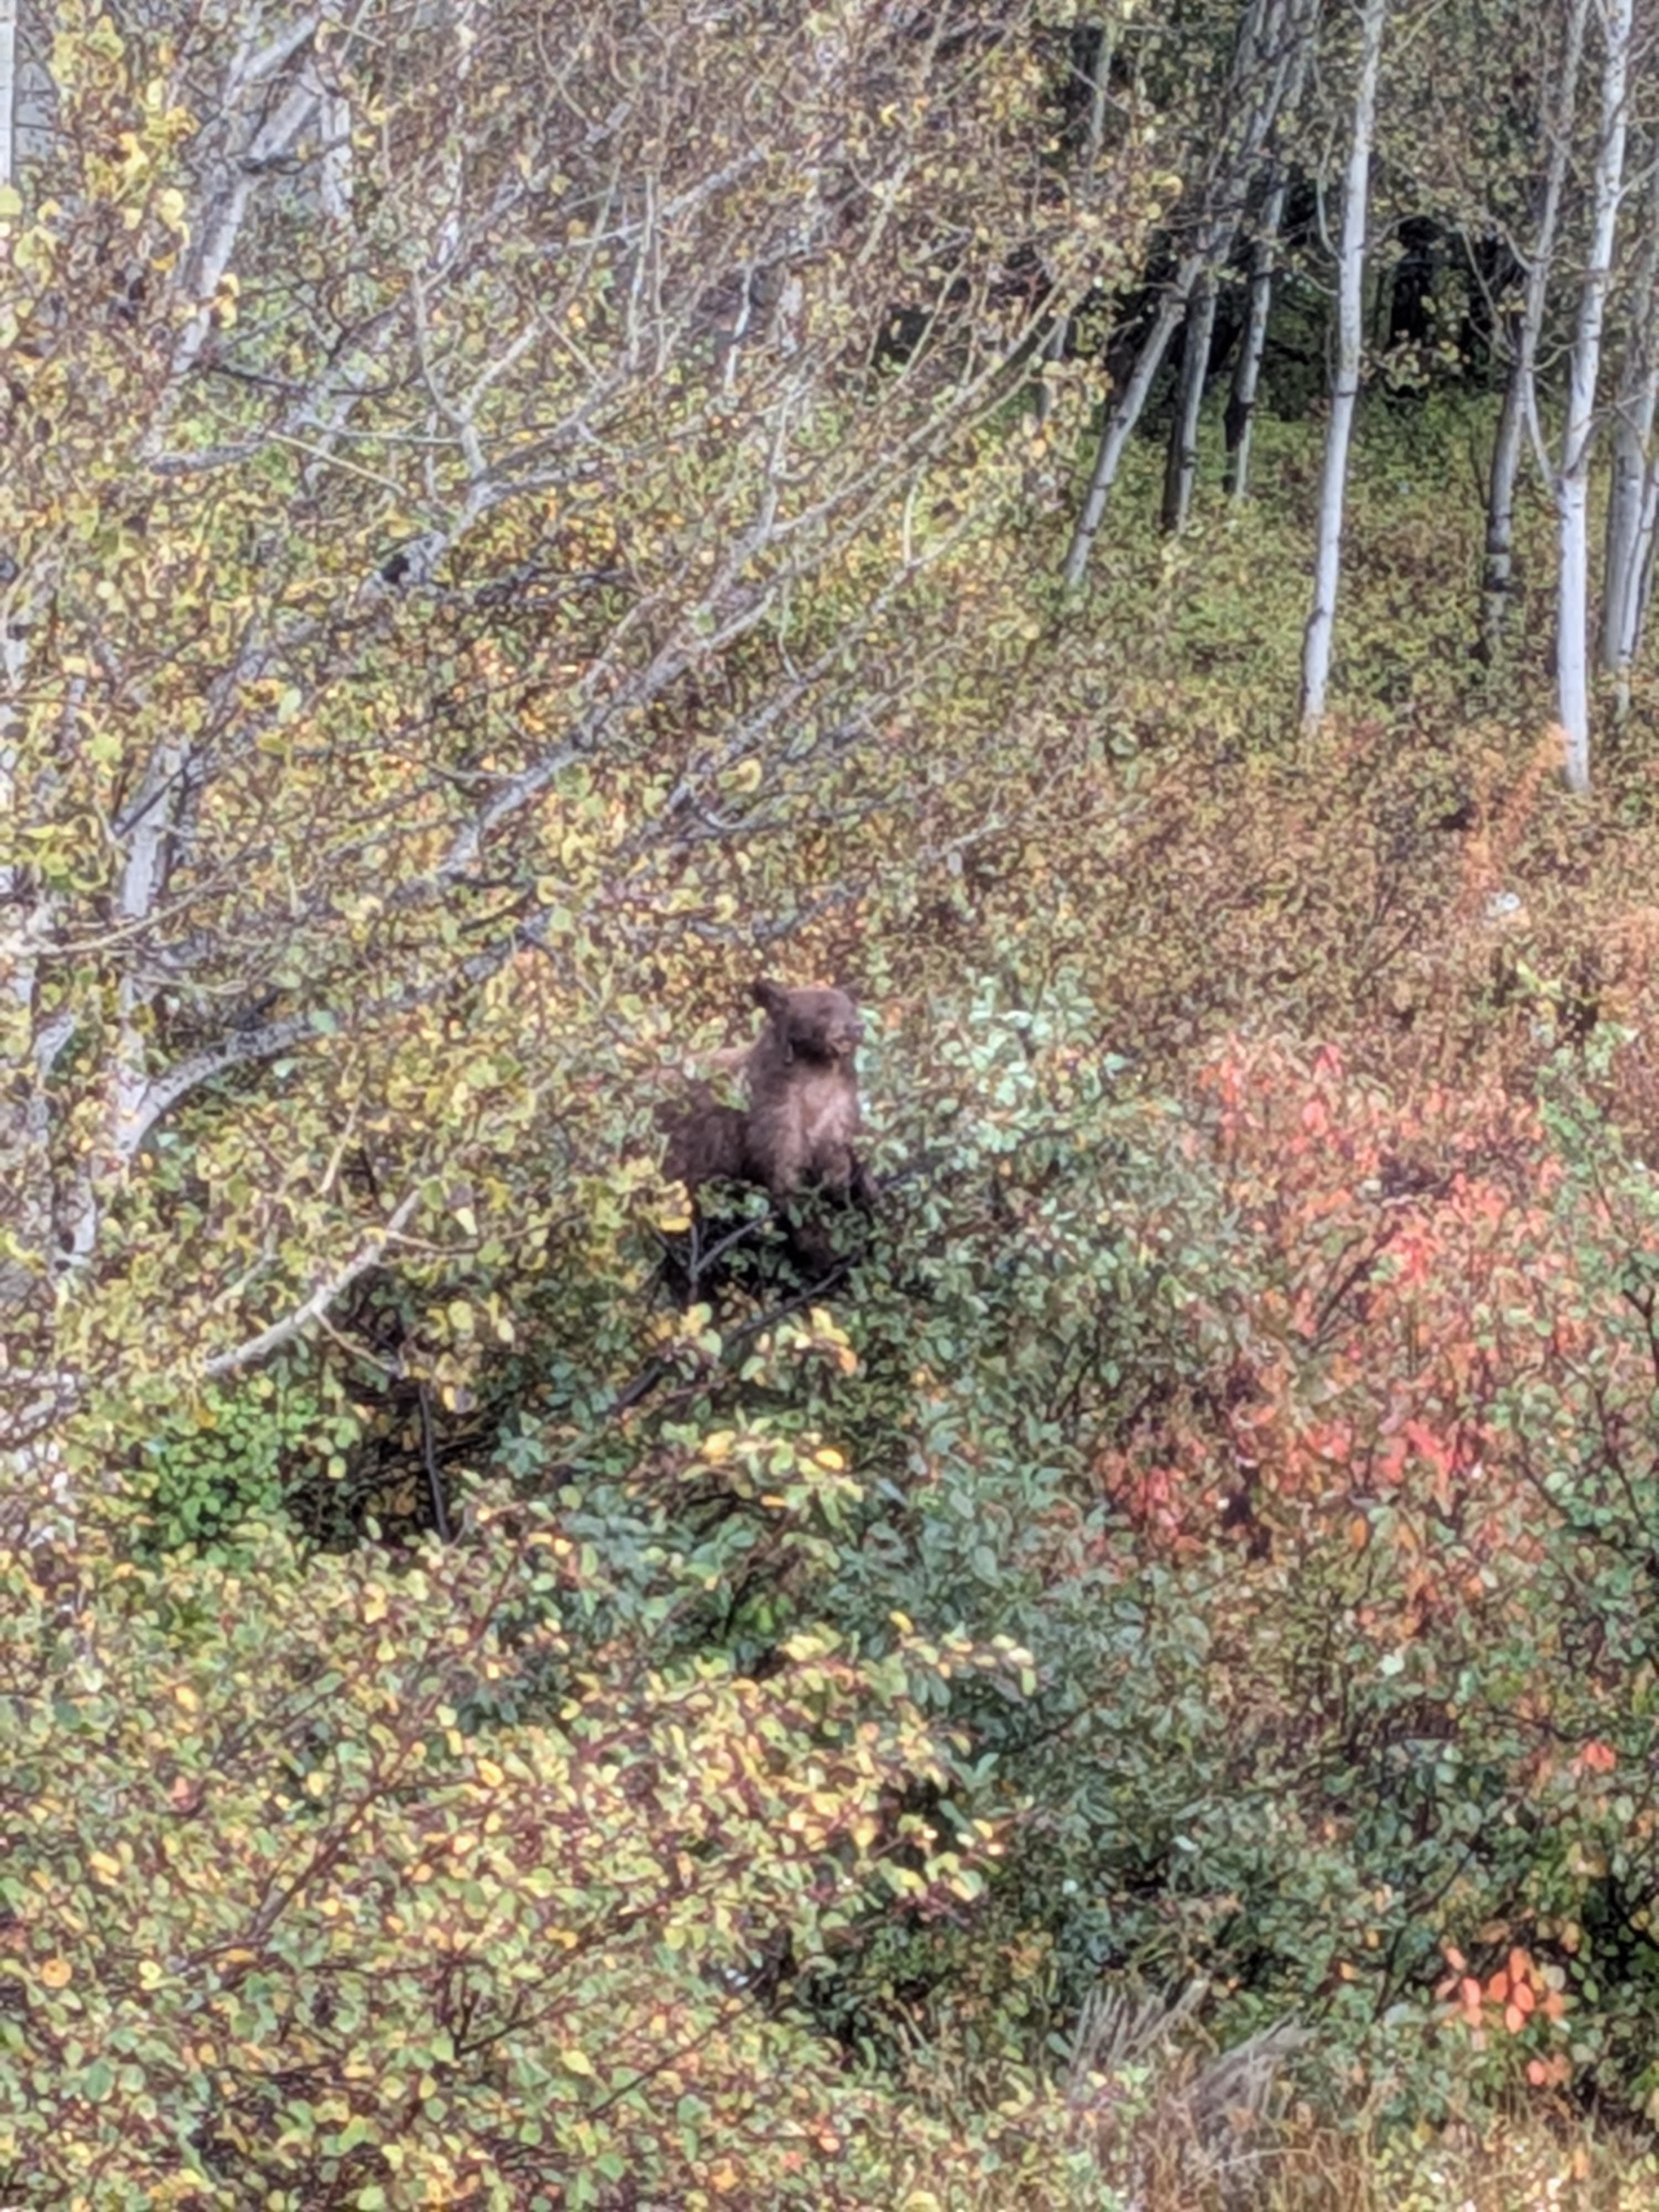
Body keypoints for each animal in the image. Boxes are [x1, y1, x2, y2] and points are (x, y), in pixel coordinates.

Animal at [660, 979, 872, 1291]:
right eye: (823, 1010)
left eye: (851, 1007)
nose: (856, 1027)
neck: (816, 1074)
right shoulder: (773, 1114)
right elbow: (786, 1178)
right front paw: (822, 1252)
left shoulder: (838, 1110)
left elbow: (845, 1162)